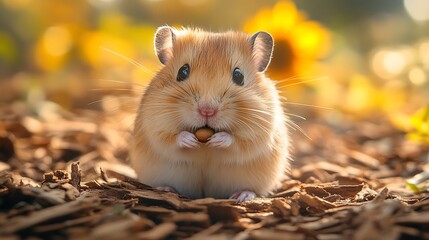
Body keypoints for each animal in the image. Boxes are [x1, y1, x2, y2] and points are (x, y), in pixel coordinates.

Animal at [130, 26, 290, 202]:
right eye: (182, 72)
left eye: (239, 76)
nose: (207, 111)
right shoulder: (155, 123)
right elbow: (169, 138)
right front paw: (190, 140)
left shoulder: (259, 129)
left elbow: (239, 141)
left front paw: (217, 140)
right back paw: (165, 189)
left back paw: (243, 196)